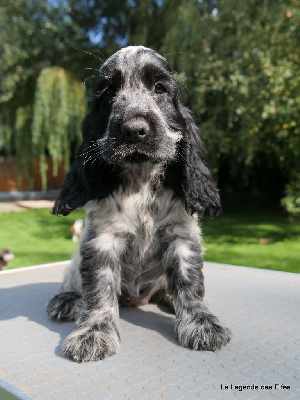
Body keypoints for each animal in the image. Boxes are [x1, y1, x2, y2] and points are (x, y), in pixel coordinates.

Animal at [47, 45, 231, 360]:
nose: (133, 129)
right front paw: (93, 332)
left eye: (160, 88)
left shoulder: (183, 237)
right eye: (107, 93)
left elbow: (190, 283)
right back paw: (67, 299)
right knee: (71, 278)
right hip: (74, 264)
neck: (141, 180)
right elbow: (98, 290)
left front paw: (201, 322)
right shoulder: (101, 241)